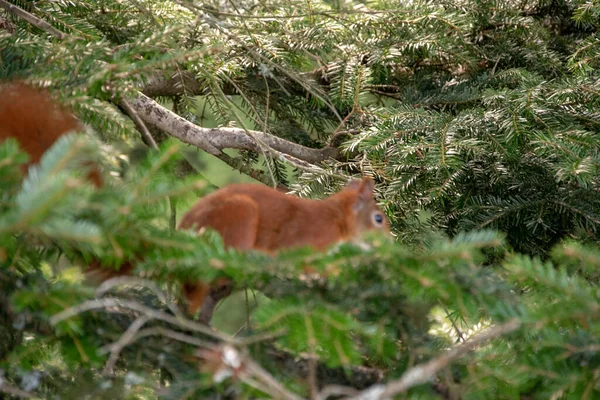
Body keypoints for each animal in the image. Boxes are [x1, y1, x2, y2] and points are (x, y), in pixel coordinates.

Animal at [0, 79, 392, 324]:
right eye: (378, 219)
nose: (392, 243)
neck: (335, 219)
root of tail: (185, 238)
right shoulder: (301, 236)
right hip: (240, 218)